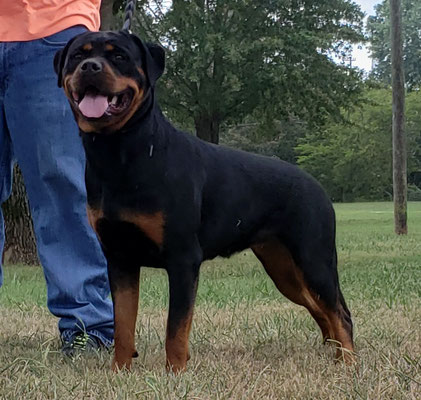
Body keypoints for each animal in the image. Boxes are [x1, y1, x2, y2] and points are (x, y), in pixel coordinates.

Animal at [53, 30, 354, 372]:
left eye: (119, 56)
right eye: (78, 55)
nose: (89, 67)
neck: (121, 153)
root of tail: (317, 185)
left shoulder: (183, 259)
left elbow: (176, 328)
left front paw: (175, 373)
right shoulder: (120, 259)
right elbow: (124, 326)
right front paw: (120, 371)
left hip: (313, 260)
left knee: (340, 314)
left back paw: (349, 364)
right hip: (285, 270)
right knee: (323, 311)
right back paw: (334, 356)